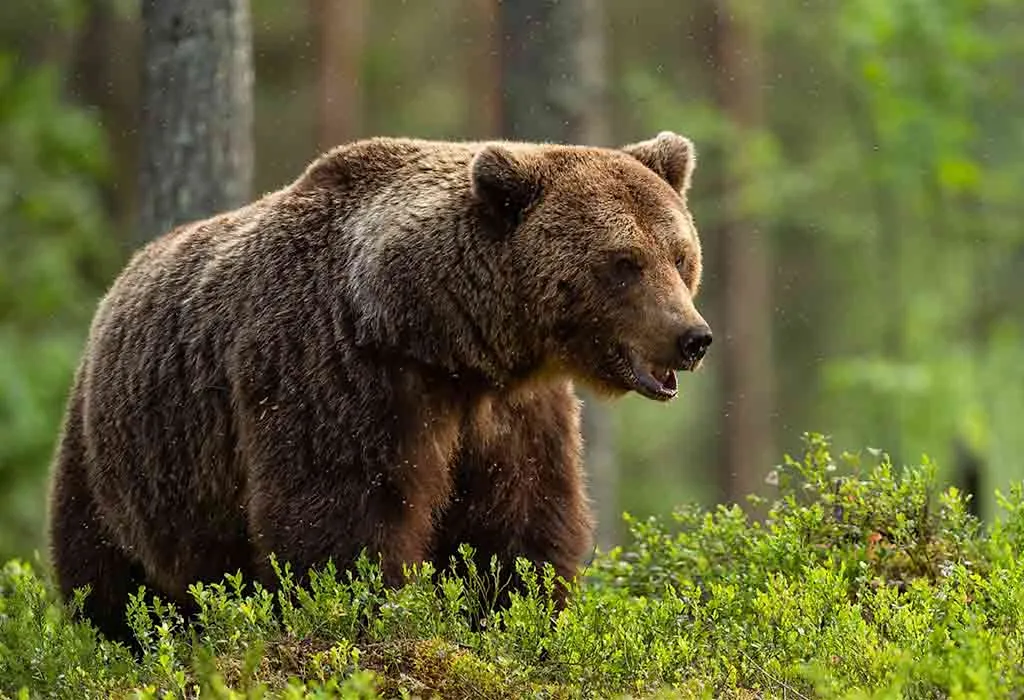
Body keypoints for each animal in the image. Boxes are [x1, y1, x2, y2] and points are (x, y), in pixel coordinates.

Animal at [47, 131, 712, 645]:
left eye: (680, 257)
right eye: (624, 264)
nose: (693, 337)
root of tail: (118, 283)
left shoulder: (512, 412)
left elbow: (520, 523)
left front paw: (512, 614)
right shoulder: (340, 373)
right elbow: (342, 518)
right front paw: (372, 617)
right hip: (122, 459)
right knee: (107, 576)